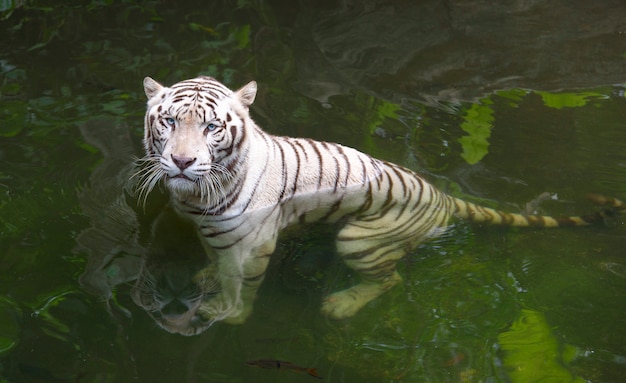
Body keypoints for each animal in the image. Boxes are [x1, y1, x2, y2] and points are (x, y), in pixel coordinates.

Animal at [134, 76, 620, 336]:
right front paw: (207, 277)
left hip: (360, 238)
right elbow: (217, 264)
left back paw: (342, 304)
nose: (182, 161)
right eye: (169, 121)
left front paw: (230, 315)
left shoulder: (254, 245)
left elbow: (242, 288)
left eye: (212, 127)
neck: (195, 195)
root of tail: (442, 195)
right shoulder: (211, 234)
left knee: (391, 280)